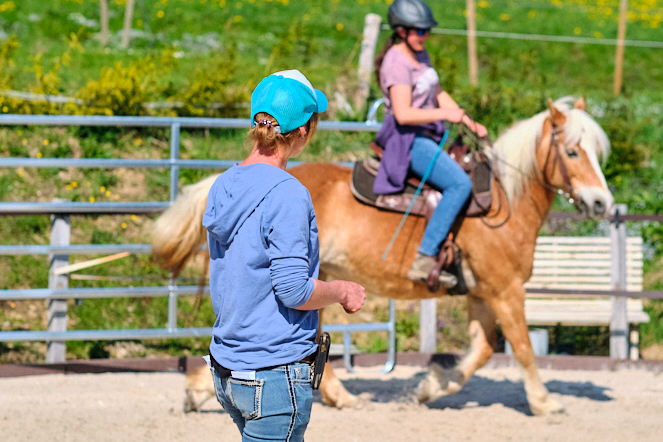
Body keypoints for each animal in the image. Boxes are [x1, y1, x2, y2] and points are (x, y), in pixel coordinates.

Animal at [152, 96, 612, 414]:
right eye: (573, 152)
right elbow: (522, 348)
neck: (503, 203)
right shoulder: (506, 291)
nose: (602, 203)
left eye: (596, 152)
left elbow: (482, 351)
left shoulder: (483, 294)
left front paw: (432, 386)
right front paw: (545, 402)